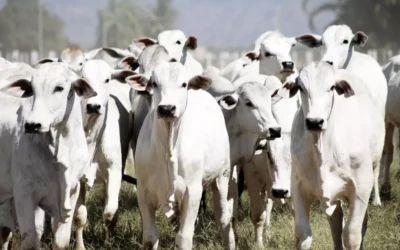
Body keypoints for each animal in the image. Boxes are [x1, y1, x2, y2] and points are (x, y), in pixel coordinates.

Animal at [0, 61, 96, 249]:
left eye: (59, 88)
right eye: (32, 88)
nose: (32, 125)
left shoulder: (71, 192)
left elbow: (61, 240)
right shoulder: (24, 194)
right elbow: (31, 239)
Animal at [126, 61, 236, 249]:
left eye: (184, 84)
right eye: (154, 83)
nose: (167, 108)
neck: (168, 149)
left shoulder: (192, 192)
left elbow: (184, 238)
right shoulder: (143, 192)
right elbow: (150, 237)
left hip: (222, 177)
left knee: (223, 220)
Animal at [272, 61, 384, 249]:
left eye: (331, 87)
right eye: (301, 87)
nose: (314, 122)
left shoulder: (361, 188)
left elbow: (352, 235)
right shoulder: (298, 187)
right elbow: (303, 234)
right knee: (336, 222)